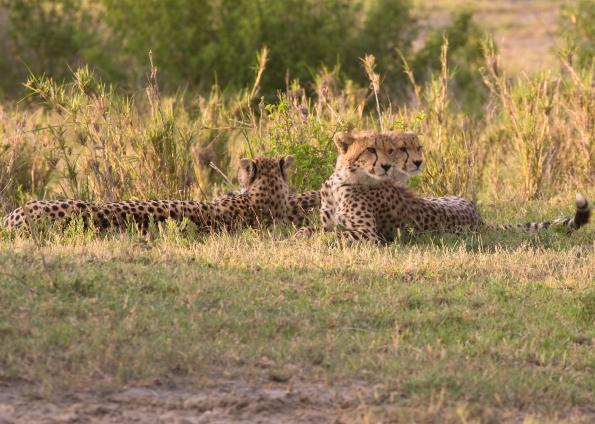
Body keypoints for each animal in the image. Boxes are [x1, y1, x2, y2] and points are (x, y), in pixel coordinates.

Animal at [302, 132, 592, 243]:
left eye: (390, 150)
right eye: (371, 149)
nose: (384, 166)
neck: (342, 181)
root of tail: (478, 217)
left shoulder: (368, 234)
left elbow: (330, 235)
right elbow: (317, 229)